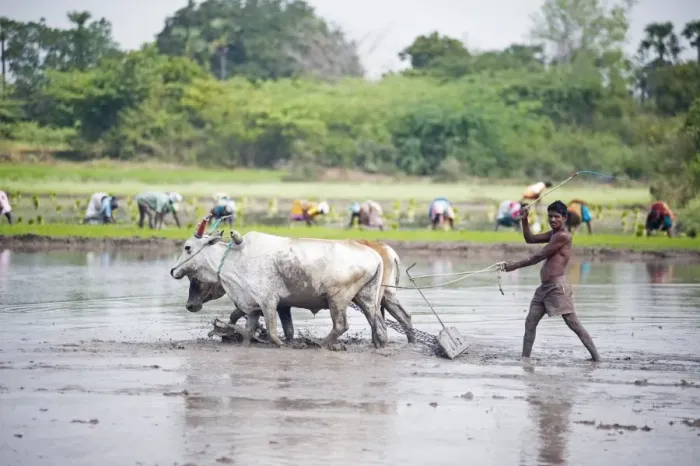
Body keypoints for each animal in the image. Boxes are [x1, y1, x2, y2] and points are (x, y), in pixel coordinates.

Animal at [170, 218, 388, 350]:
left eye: (187, 247)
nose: (173, 271)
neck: (234, 259)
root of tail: (375, 255)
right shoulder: (253, 306)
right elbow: (248, 332)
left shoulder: (268, 302)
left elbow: (273, 333)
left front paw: (285, 345)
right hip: (367, 298)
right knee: (379, 325)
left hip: (338, 298)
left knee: (341, 325)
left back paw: (320, 344)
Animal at [184, 239, 416, 344]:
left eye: (195, 279)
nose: (189, 305)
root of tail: (386, 249)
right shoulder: (282, 304)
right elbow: (287, 328)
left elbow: (236, 314)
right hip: (383, 297)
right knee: (400, 317)